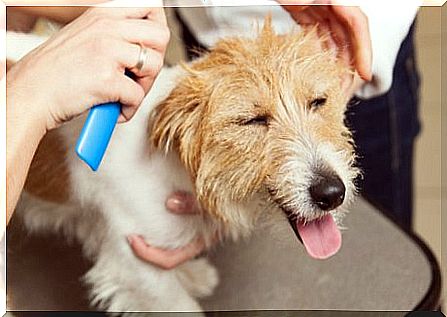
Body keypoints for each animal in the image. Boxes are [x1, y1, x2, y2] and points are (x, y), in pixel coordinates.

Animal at [11, 20, 360, 314]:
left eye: (318, 101)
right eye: (252, 120)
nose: (331, 193)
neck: (177, 164)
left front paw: (189, 273)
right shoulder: (137, 264)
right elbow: (177, 304)